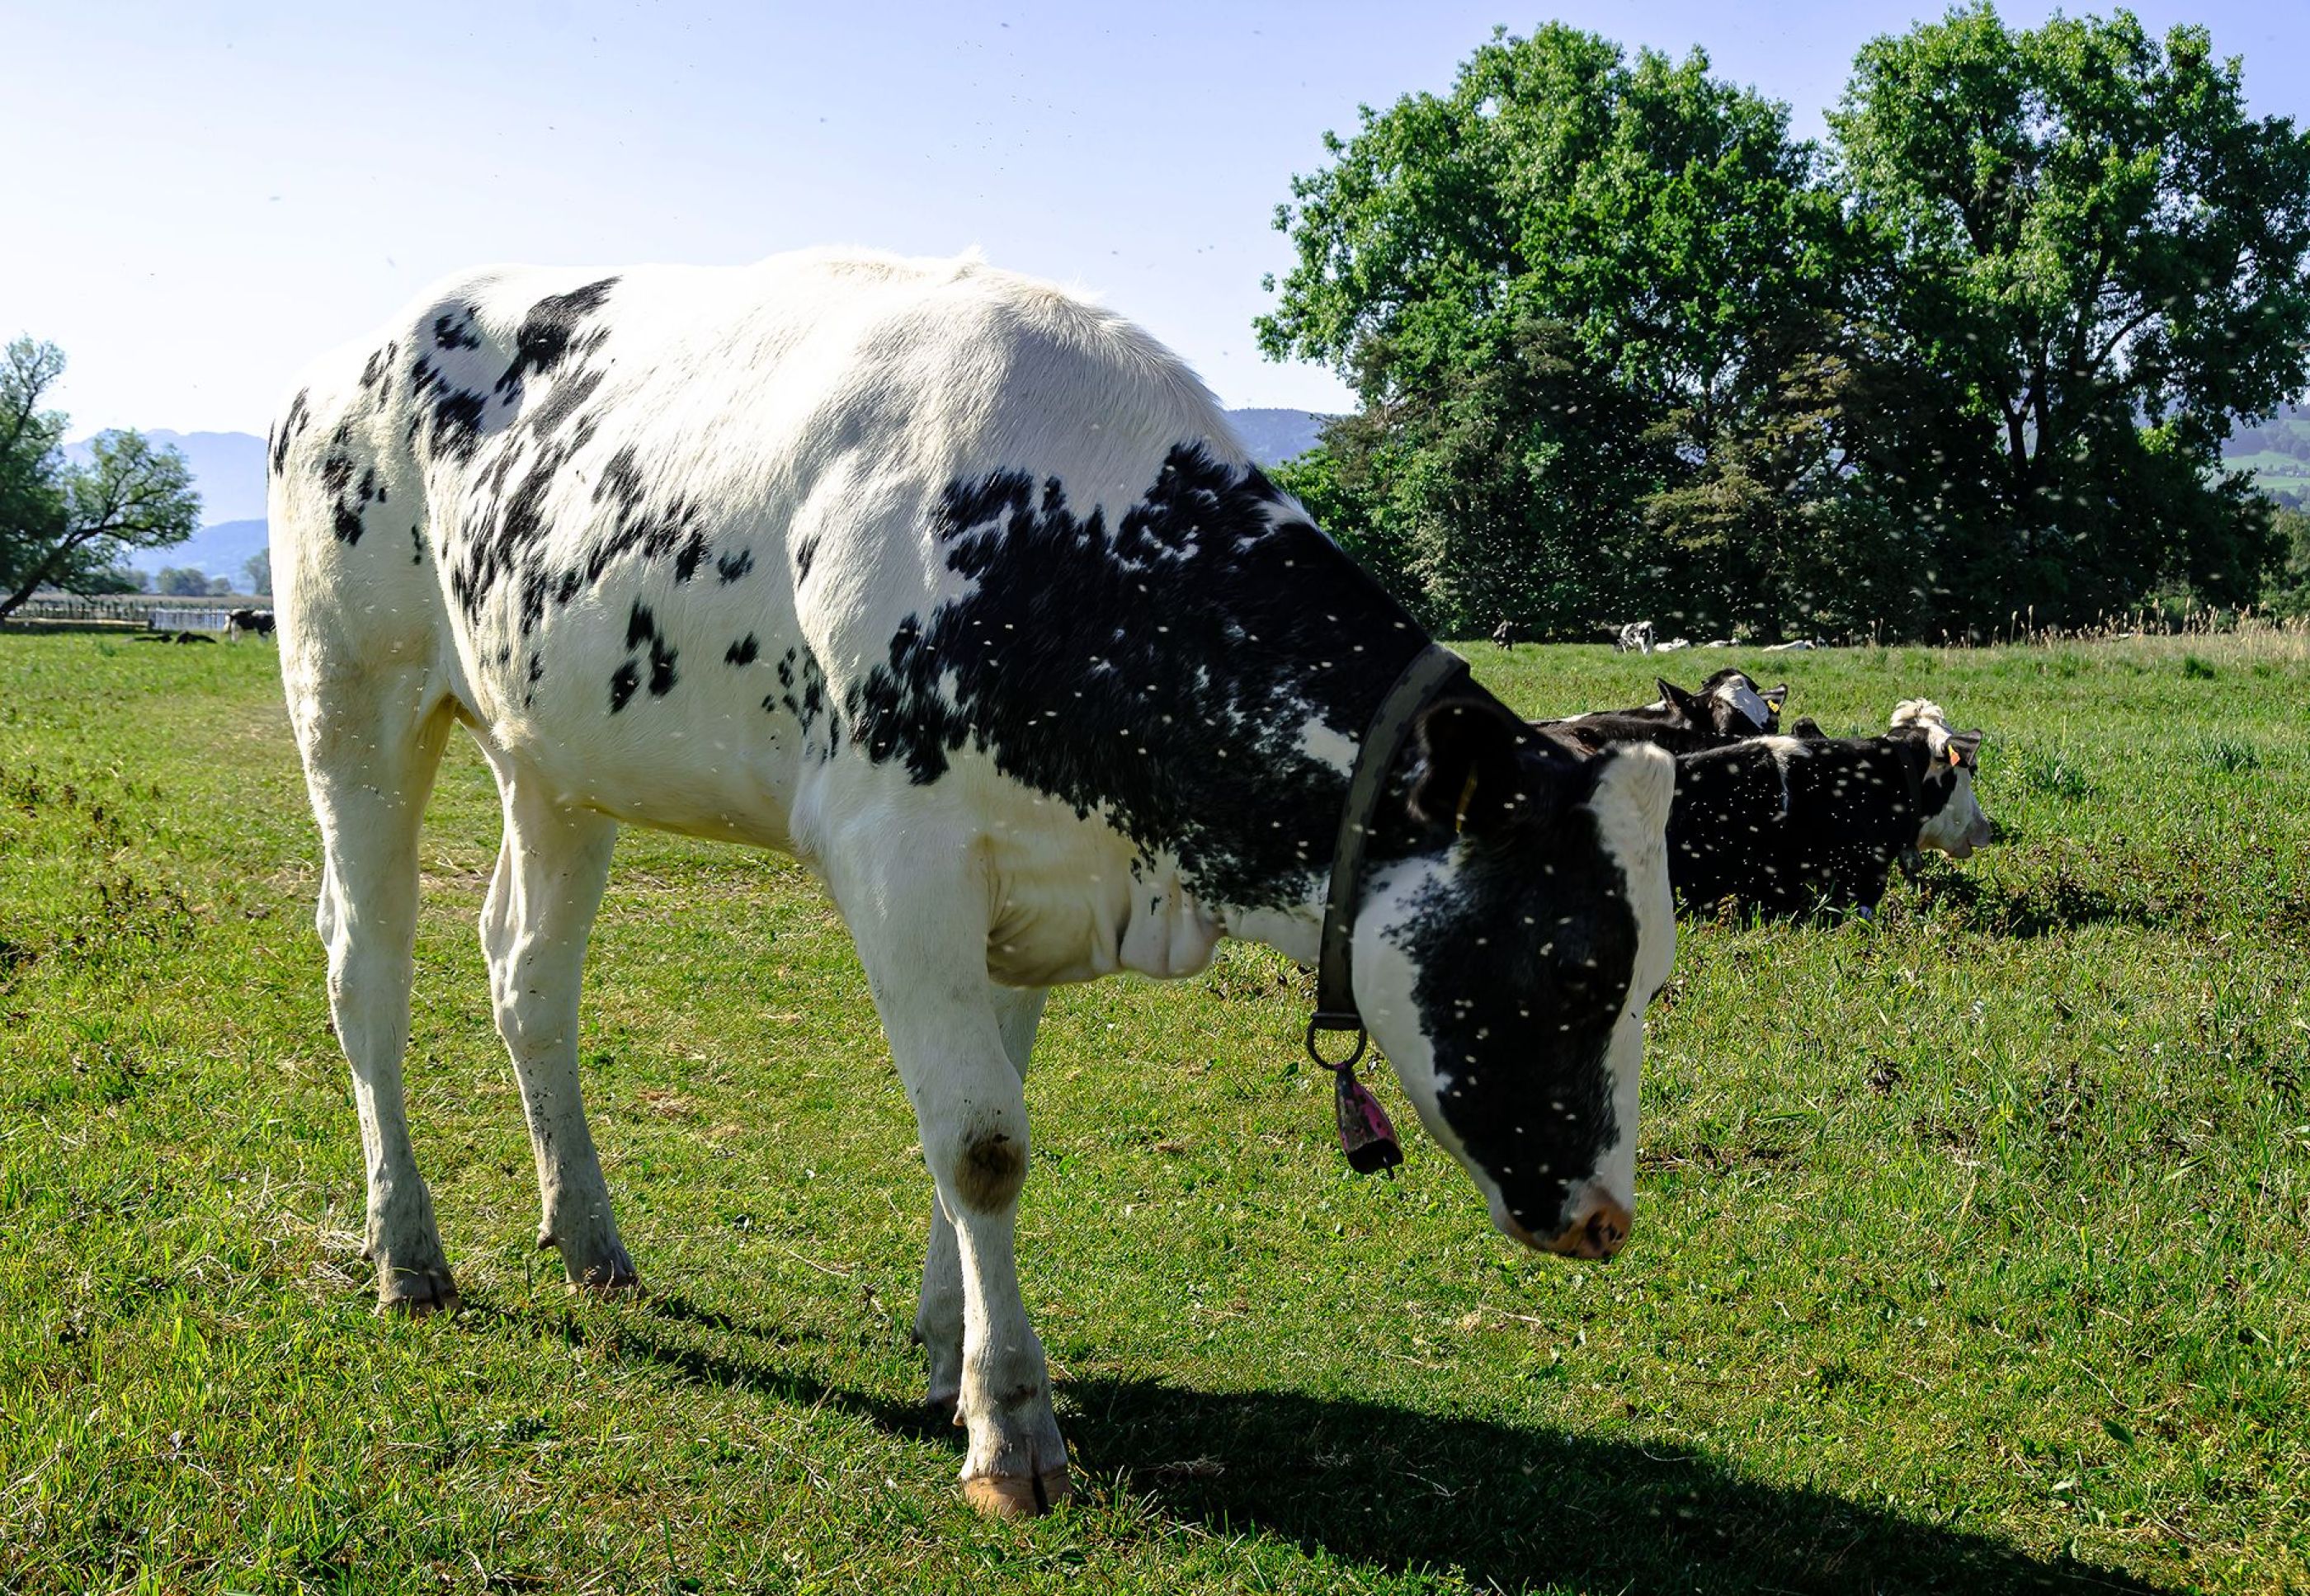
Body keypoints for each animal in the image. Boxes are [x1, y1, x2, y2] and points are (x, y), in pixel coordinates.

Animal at [268, 248, 1677, 1517]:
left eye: (1655, 975)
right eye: (1572, 963)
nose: (1608, 1217)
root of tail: (345, 360)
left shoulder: (1033, 887)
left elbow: (985, 1121)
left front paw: (950, 1349)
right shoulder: (899, 858)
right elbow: (985, 1144)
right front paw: (1011, 1429)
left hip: (554, 757)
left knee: (527, 972)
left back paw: (591, 1236)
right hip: (352, 696)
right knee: (366, 966)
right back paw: (408, 1252)